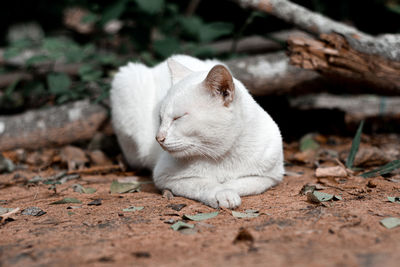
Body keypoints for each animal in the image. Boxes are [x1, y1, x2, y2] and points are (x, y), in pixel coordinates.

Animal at [111, 55, 282, 209]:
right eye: (160, 118)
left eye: (178, 118)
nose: (158, 138)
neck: (222, 156)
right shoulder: (167, 177)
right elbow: (206, 183)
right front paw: (222, 194)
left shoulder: (269, 177)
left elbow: (239, 183)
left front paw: (227, 190)